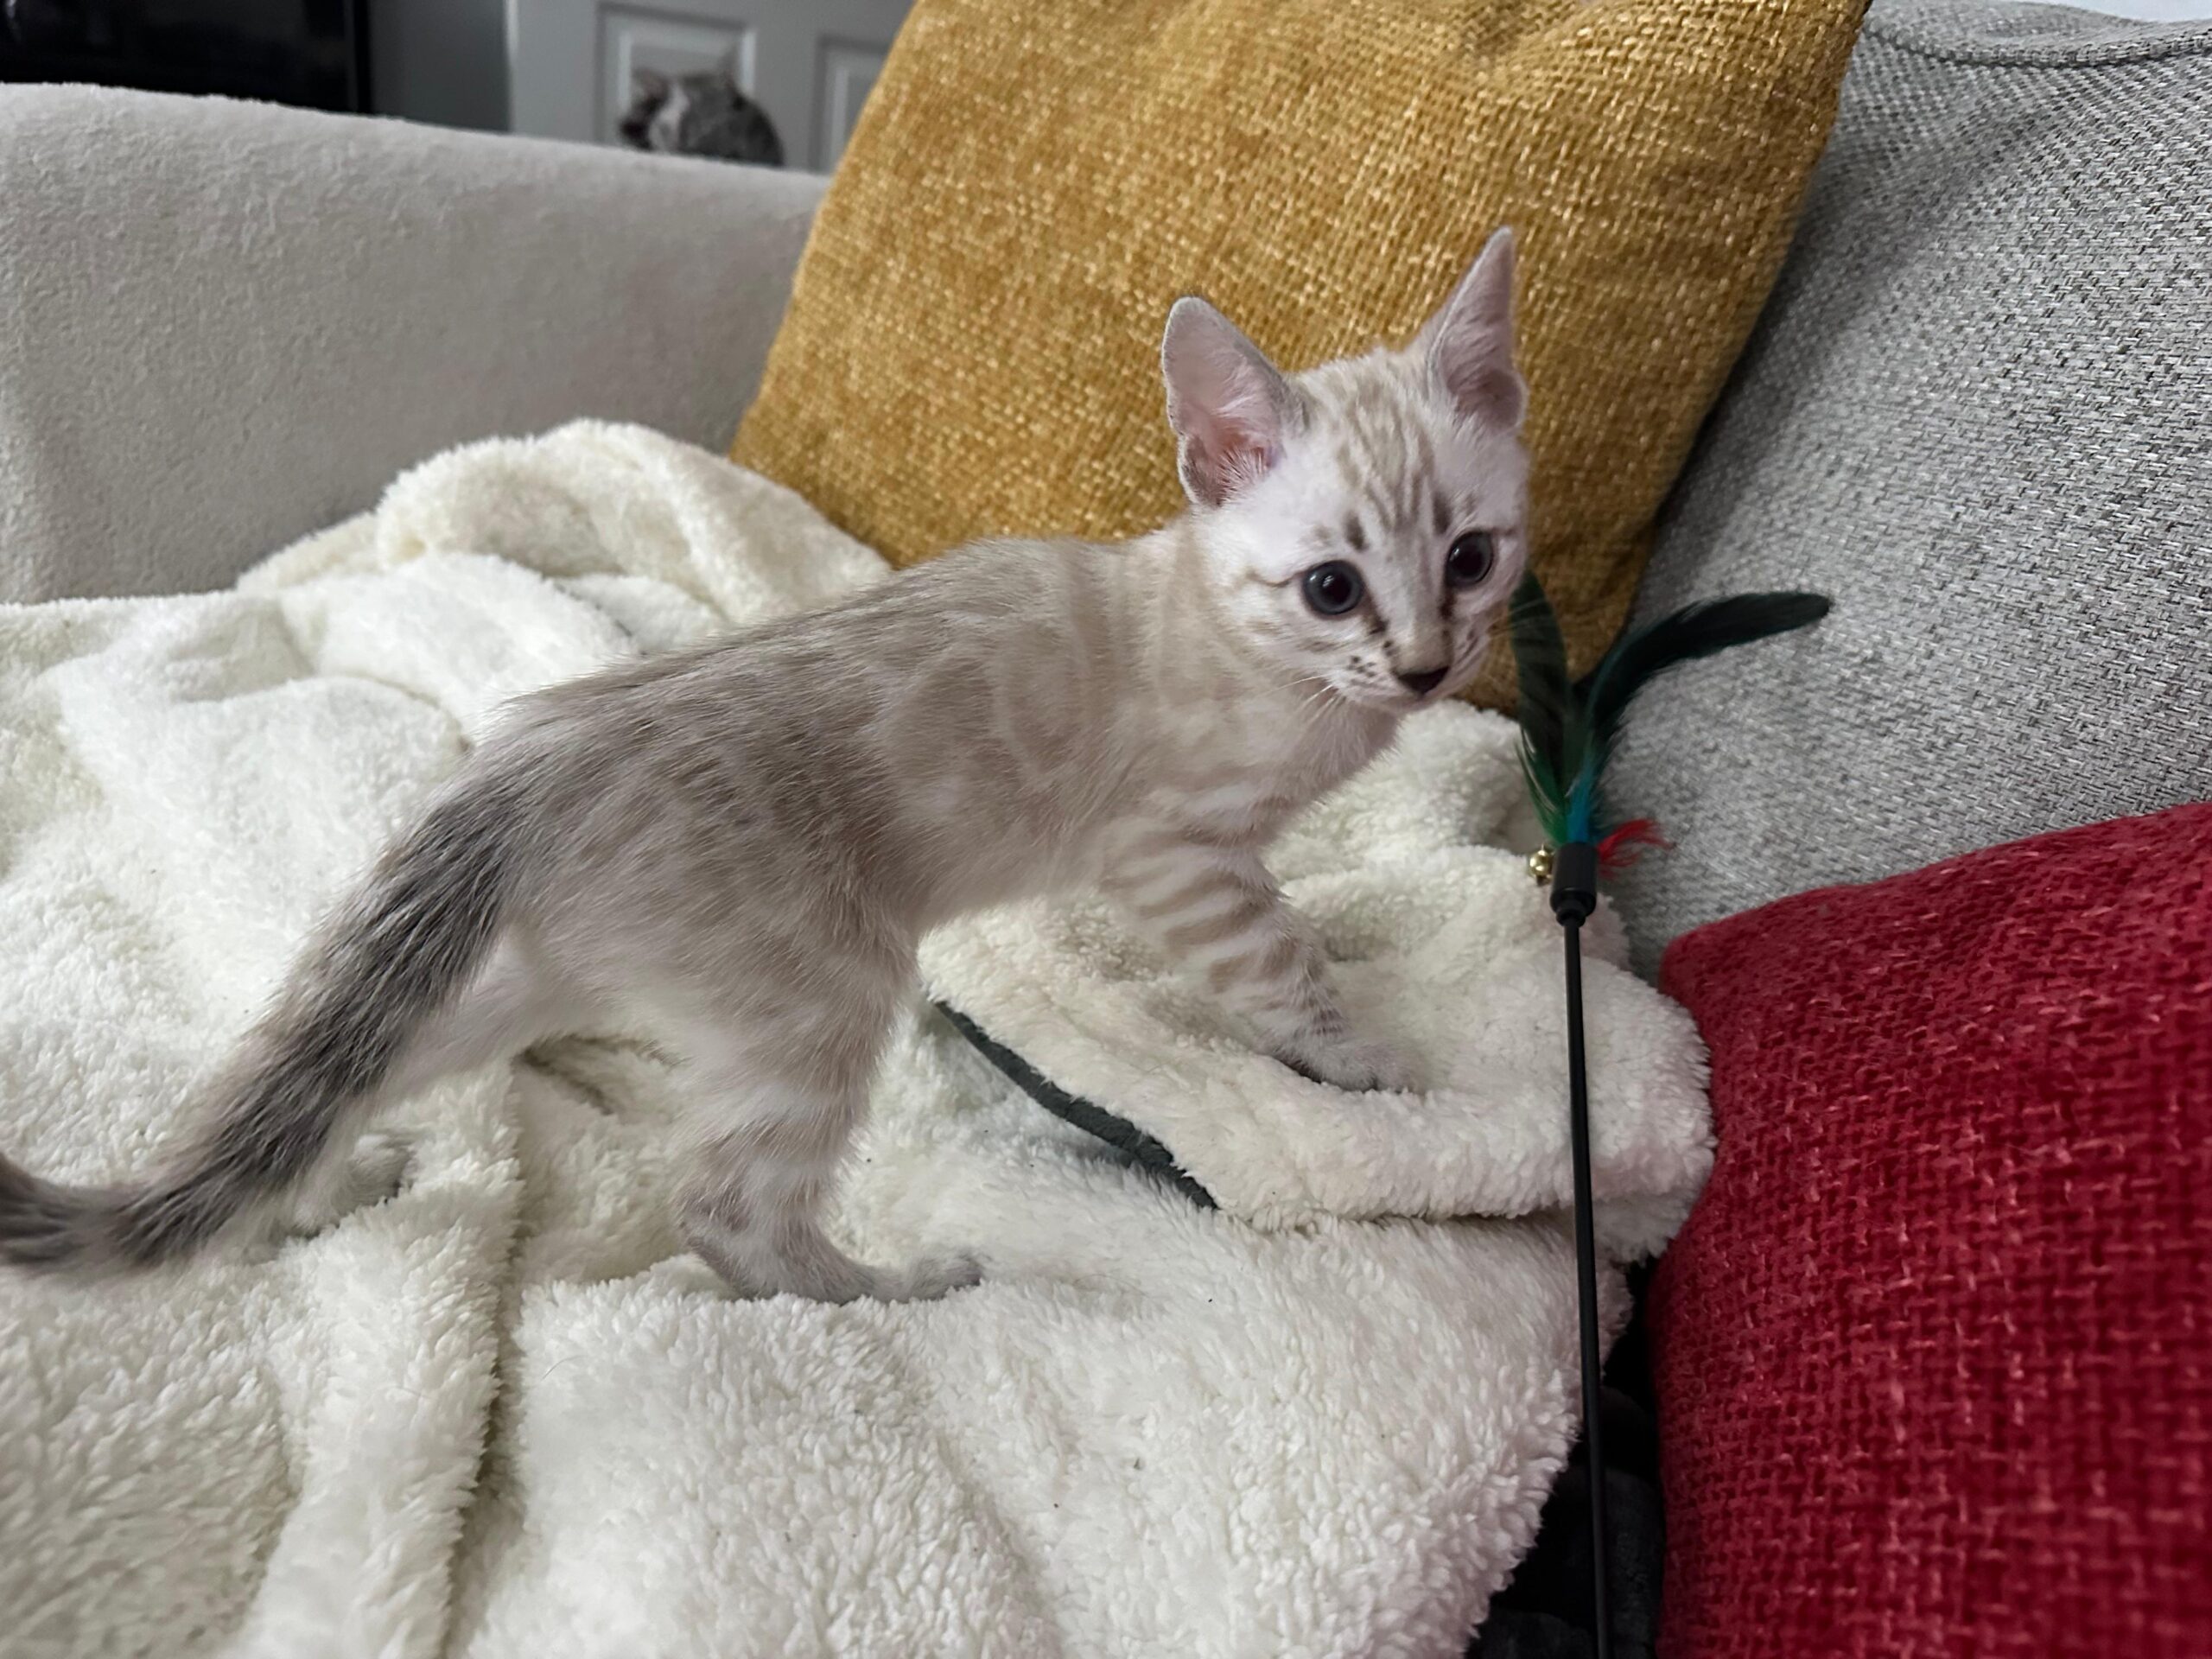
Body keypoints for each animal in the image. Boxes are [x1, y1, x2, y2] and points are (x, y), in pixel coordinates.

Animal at [0, 230, 1530, 1304]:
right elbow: (1284, 964)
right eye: (1333, 587)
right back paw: (897, 1290)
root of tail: (528, 761)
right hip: (827, 989)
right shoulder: (1180, 850)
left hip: (555, 975)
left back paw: (314, 1194)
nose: (1424, 666)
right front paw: (1373, 1064)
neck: (1232, 627)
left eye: (1472, 557)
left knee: (348, 1065)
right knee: (724, 1211)